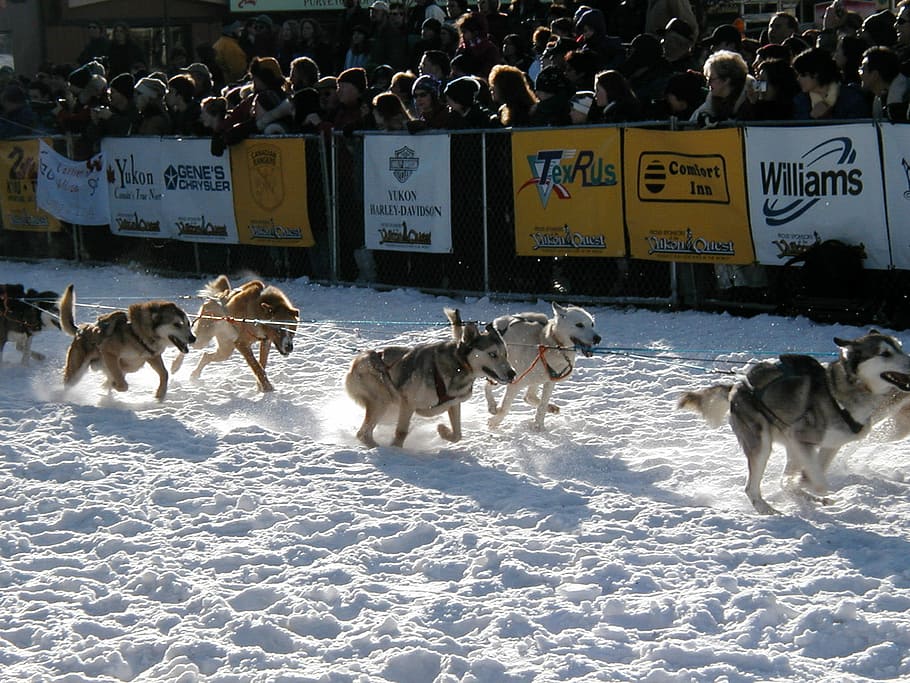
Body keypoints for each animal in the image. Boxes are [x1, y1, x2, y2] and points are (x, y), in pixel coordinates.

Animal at [61, 286, 198, 404]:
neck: (137, 334)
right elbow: (123, 385)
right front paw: (115, 385)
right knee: (68, 384)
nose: (193, 338)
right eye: (177, 324)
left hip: (131, 367)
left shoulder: (152, 356)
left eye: (188, 324)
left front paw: (160, 394)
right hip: (76, 372)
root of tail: (80, 330)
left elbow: (164, 374)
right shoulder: (109, 353)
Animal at [171, 272, 300, 390]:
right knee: (190, 344)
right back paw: (175, 365)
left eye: (292, 330)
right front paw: (267, 387)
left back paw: (195, 374)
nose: (289, 347)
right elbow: (257, 367)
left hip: (225, 350)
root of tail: (216, 297)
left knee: (206, 355)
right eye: (278, 329)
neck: (258, 313)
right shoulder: (241, 344)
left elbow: (262, 364)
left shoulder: (266, 342)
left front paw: (260, 385)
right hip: (203, 339)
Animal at [346, 308, 516, 448]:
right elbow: (401, 432)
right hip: (383, 401)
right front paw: (396, 449)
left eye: (505, 354)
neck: (459, 366)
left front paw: (443, 430)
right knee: (362, 433)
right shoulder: (408, 404)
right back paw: (378, 448)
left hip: (390, 408)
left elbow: (457, 435)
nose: (512, 373)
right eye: (492, 354)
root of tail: (358, 360)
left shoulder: (454, 404)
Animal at [452, 304, 604, 428]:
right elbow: (506, 407)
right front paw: (495, 421)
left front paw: (539, 425)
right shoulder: (516, 382)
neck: (549, 343)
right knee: (488, 386)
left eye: (592, 324)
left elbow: (541, 404)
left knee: (525, 395)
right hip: (502, 373)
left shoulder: (549, 381)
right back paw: (492, 406)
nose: (598, 338)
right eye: (579, 325)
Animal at [680, 332, 910, 512]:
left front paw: (804, 485)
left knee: (783, 482)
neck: (839, 395)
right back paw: (768, 509)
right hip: (762, 443)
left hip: (789, 447)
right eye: (885, 353)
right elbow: (817, 480)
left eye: (900, 348)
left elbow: (813, 472)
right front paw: (808, 484)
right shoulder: (800, 439)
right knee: (752, 488)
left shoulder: (829, 445)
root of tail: (738, 386)